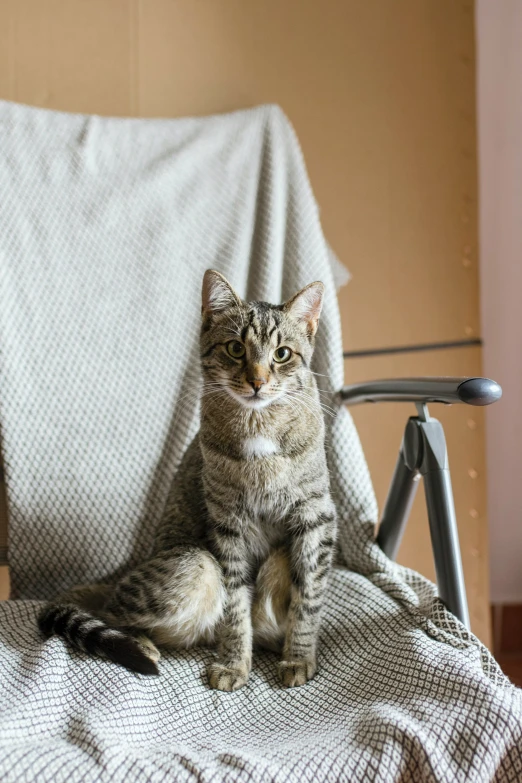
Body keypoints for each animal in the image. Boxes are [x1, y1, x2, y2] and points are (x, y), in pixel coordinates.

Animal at [37, 270, 338, 692]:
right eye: (235, 348)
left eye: (282, 354)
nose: (258, 381)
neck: (259, 423)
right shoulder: (228, 522)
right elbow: (234, 607)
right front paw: (234, 662)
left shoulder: (316, 516)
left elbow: (308, 597)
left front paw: (298, 657)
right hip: (193, 565)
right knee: (114, 612)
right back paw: (141, 645)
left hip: (271, 559)